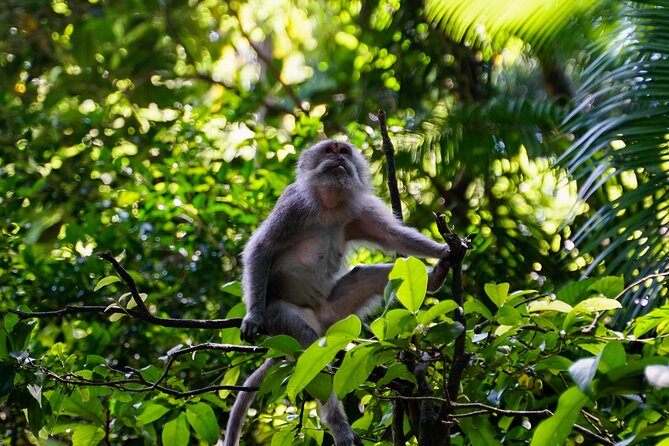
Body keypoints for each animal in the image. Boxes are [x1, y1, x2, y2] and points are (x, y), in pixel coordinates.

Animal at [224, 140, 452, 446]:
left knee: (369, 274)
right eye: (329, 150)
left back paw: (434, 277)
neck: (329, 204)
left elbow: (395, 237)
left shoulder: (360, 210)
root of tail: (320, 320)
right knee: (310, 348)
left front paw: (446, 249)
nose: (340, 158)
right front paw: (252, 317)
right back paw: (339, 426)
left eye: (344, 151)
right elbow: (262, 247)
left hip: (336, 312)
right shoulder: (292, 206)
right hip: (283, 318)